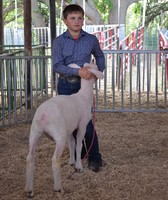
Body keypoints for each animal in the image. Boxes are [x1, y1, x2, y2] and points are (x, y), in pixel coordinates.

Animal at [25, 63, 103, 197]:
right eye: (96, 67)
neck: (83, 95)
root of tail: (43, 115)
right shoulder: (82, 125)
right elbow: (78, 145)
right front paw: (78, 166)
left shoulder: (69, 129)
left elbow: (72, 144)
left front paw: (71, 161)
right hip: (59, 136)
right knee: (55, 160)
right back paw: (58, 188)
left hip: (34, 133)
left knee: (30, 158)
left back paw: (29, 190)